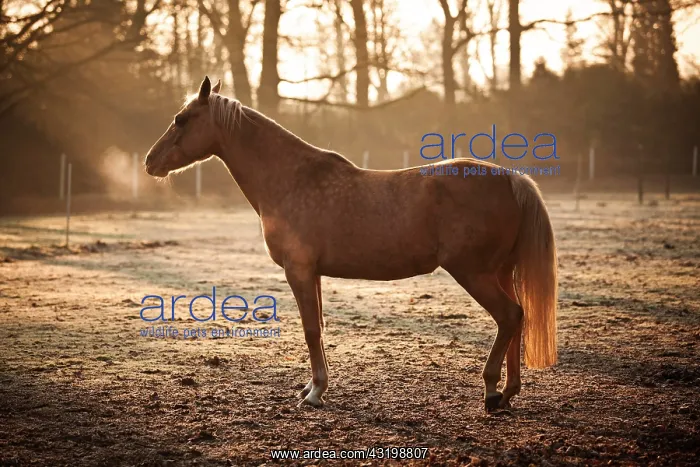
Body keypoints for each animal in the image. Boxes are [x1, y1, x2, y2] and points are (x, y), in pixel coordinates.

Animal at [144, 76, 558, 412]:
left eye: (182, 119)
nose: (150, 161)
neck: (292, 179)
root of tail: (510, 178)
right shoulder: (312, 273)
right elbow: (320, 327)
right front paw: (312, 387)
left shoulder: (298, 271)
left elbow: (311, 330)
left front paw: (314, 394)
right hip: (500, 272)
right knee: (518, 317)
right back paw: (508, 393)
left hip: (474, 273)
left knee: (509, 316)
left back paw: (491, 392)